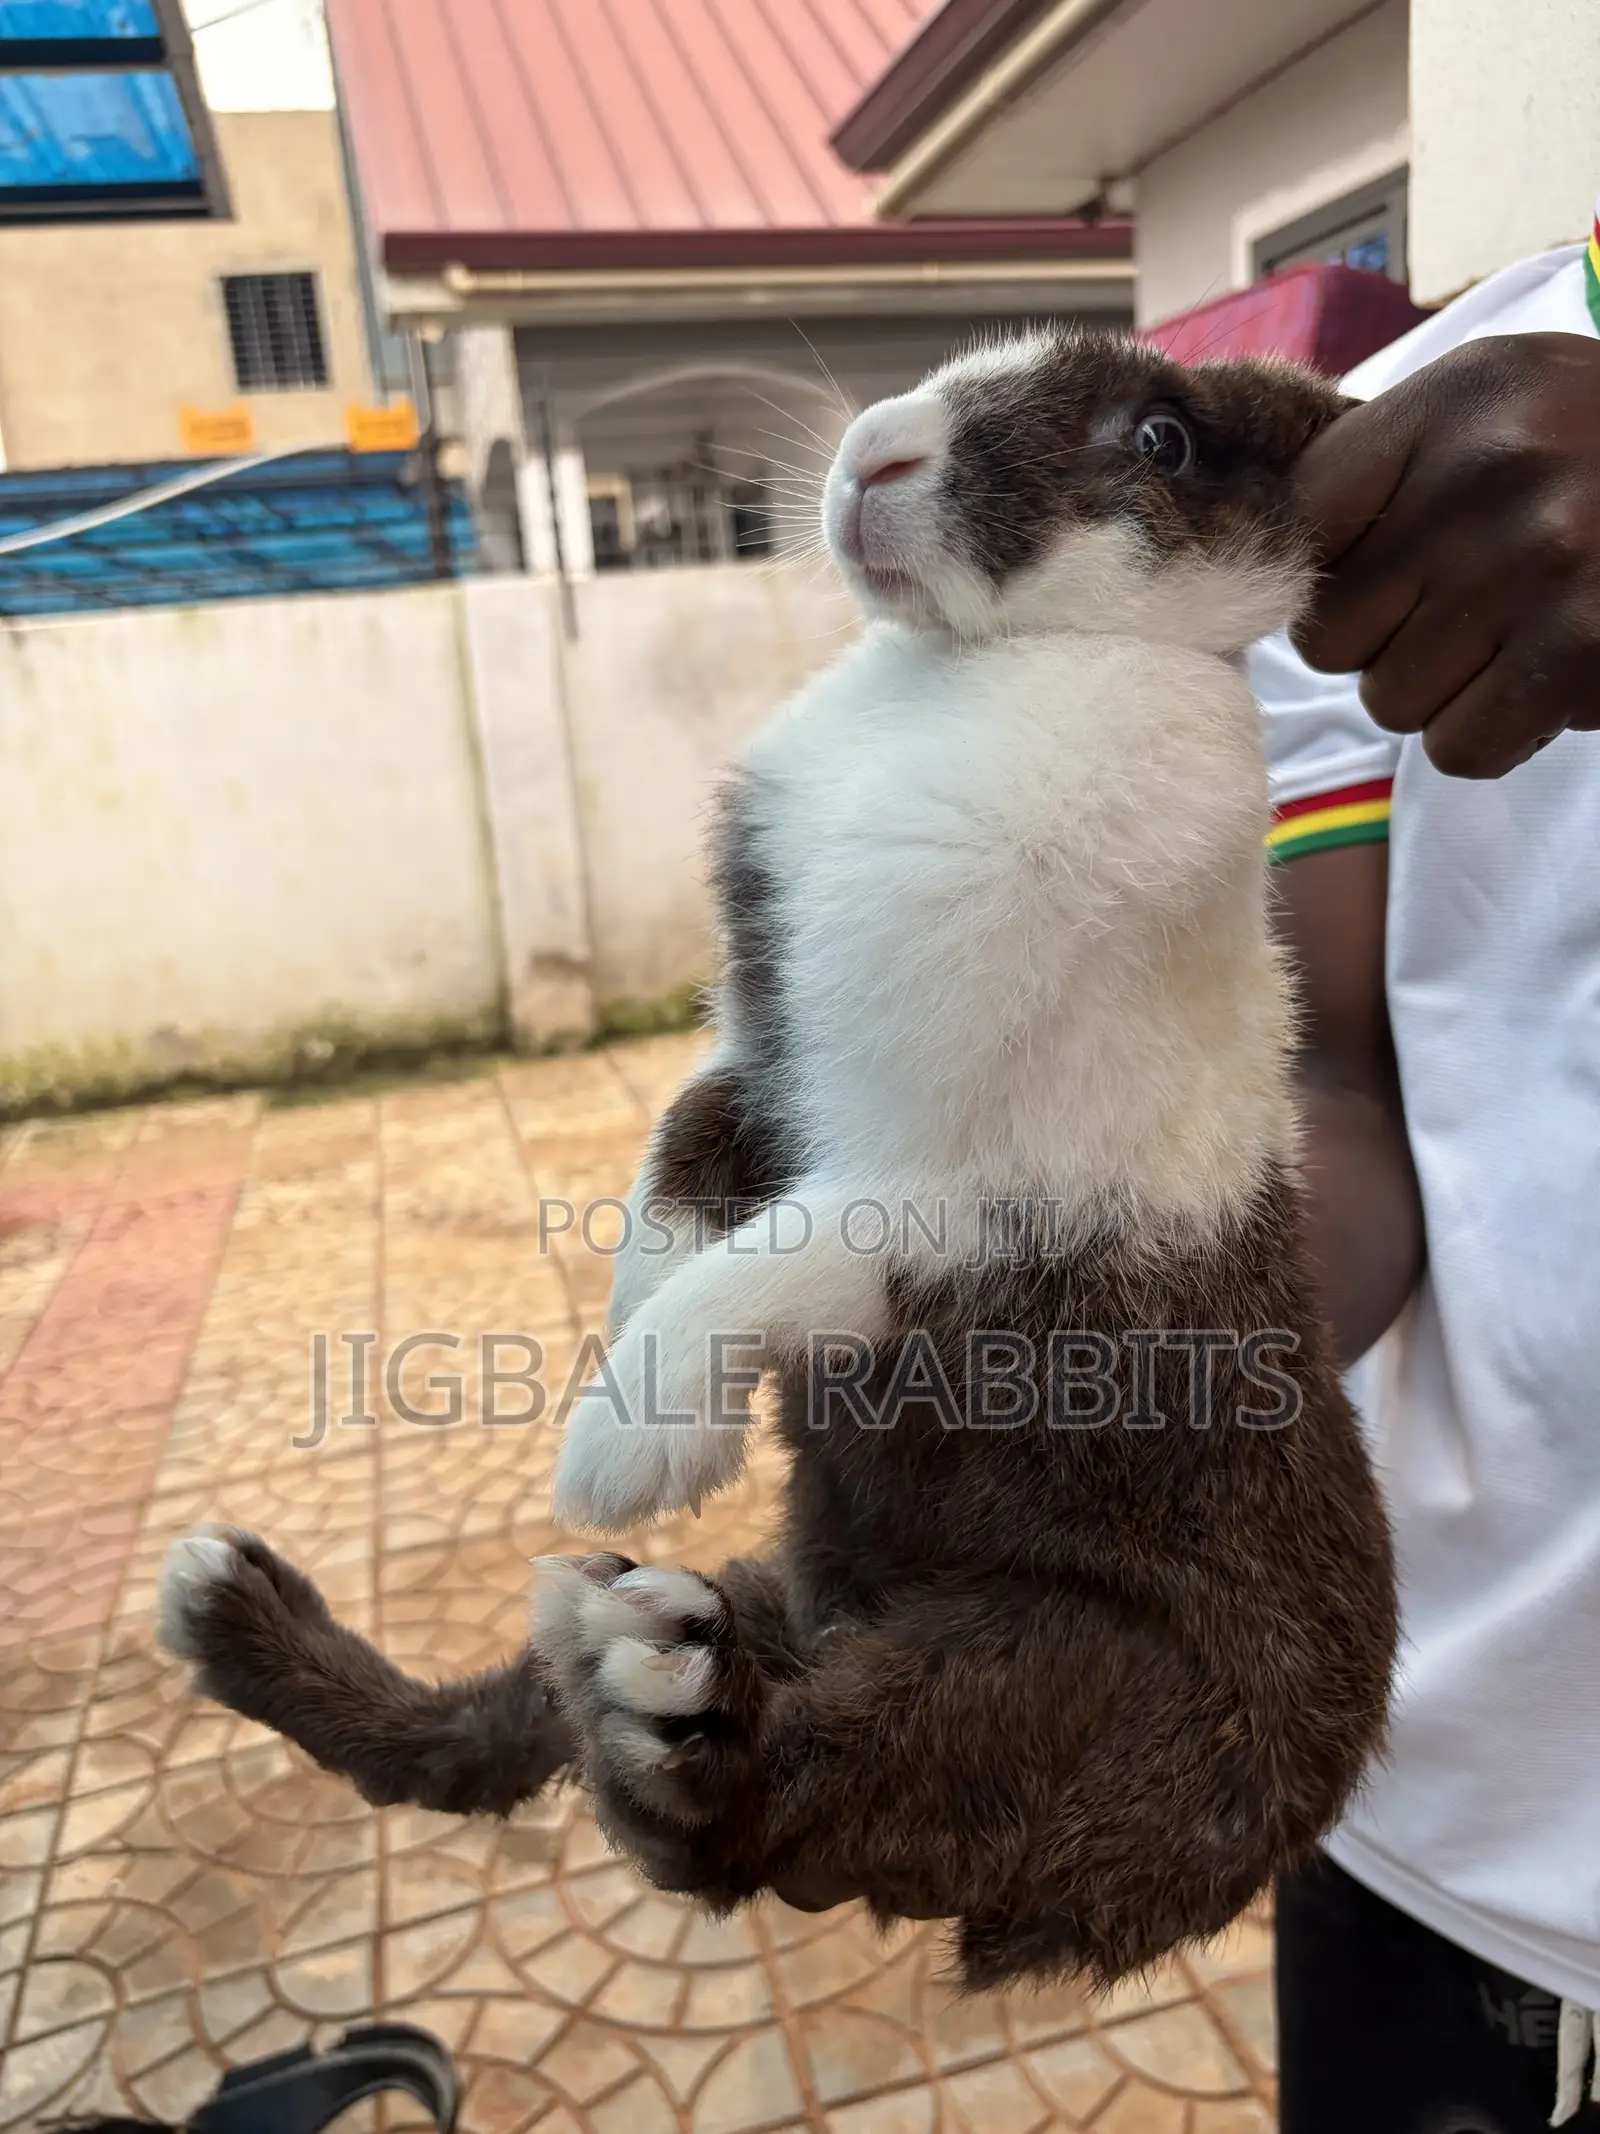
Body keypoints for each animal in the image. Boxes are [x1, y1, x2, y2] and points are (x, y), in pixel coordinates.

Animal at [159, 326, 1397, 1991]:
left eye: (1162, 439)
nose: (877, 453)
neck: (978, 666)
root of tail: (1306, 1789)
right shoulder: (765, 1063)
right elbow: (680, 1161)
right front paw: (629, 1334)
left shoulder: (943, 1191)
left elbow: (769, 1265)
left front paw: (627, 1446)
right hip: (779, 1599)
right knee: (494, 1740)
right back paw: (253, 1609)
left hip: (1046, 1681)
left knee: (762, 1812)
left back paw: (662, 1708)